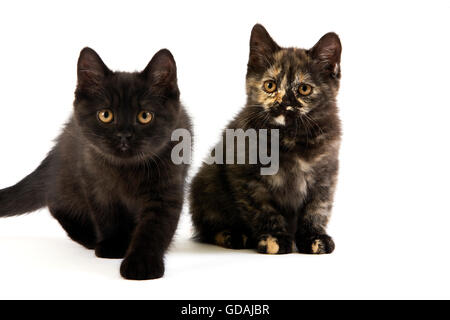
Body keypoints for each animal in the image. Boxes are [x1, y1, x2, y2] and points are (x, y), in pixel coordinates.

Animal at [0, 47, 192, 280]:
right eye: (105, 115)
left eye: (145, 116)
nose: (124, 135)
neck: (126, 169)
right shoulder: (96, 183)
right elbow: (108, 216)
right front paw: (114, 246)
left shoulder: (166, 188)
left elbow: (155, 228)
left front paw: (141, 263)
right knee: (56, 203)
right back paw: (92, 239)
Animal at [190, 24, 342, 255]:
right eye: (270, 86)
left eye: (304, 89)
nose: (283, 103)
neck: (288, 138)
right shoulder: (247, 177)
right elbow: (263, 210)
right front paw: (274, 238)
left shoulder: (325, 175)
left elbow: (317, 208)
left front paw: (314, 237)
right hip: (205, 181)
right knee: (208, 227)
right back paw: (232, 235)